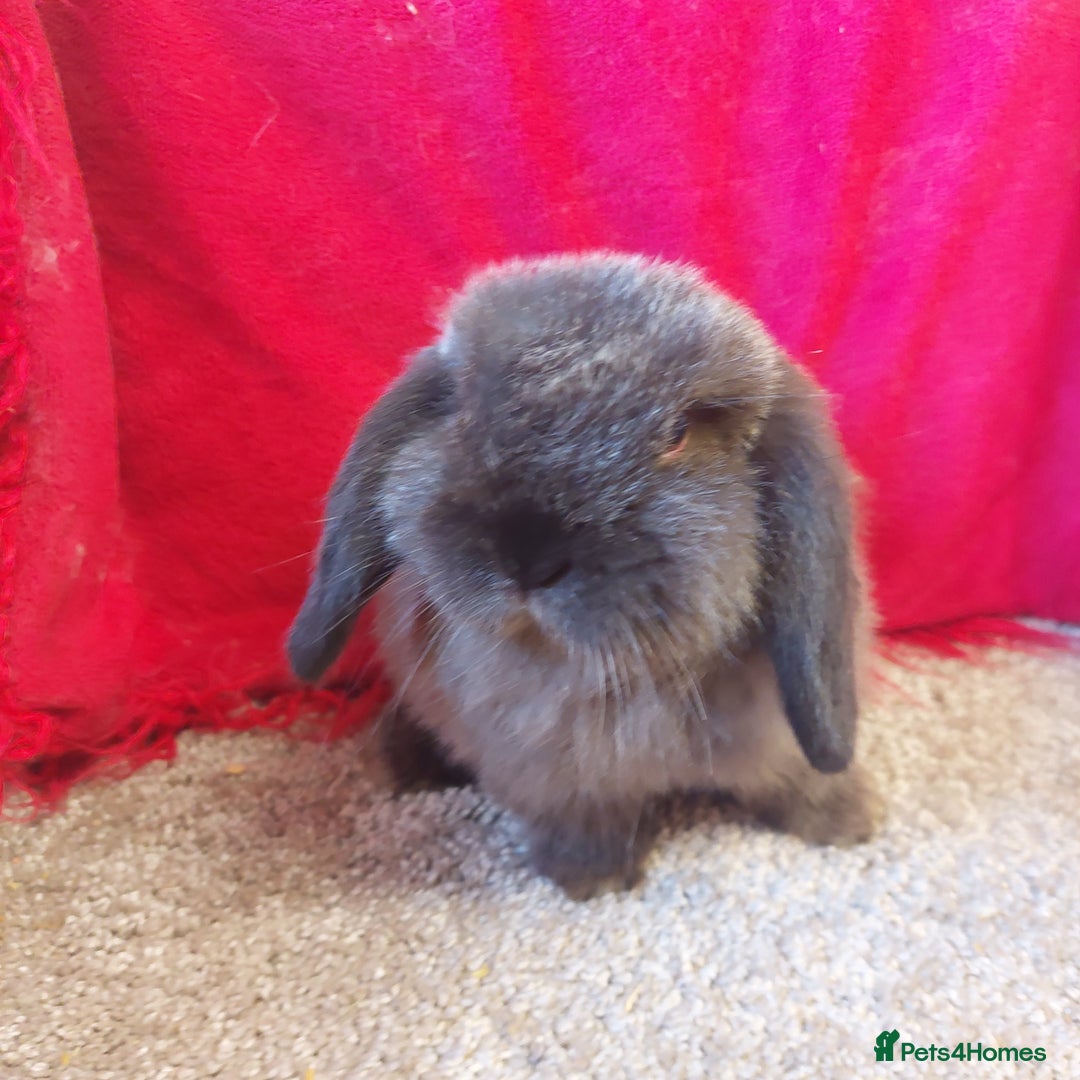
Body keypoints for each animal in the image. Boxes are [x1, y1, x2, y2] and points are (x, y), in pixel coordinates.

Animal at [288, 252, 881, 900]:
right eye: (464, 409)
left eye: (677, 436)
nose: (526, 553)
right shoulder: (551, 769)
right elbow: (584, 813)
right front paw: (594, 879)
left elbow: (803, 778)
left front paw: (848, 825)